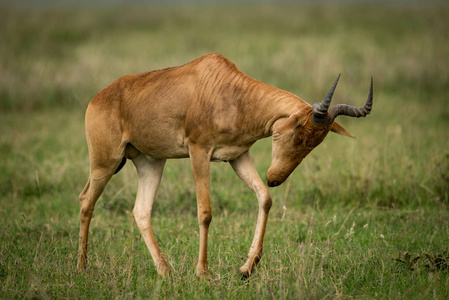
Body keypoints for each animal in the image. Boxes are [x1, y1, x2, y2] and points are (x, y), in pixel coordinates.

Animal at [77, 52, 372, 278]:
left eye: (315, 144)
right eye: (299, 136)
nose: (275, 178)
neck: (229, 91)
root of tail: (97, 98)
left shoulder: (237, 156)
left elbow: (265, 198)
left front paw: (246, 268)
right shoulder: (199, 152)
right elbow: (205, 212)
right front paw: (203, 273)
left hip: (151, 162)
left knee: (140, 211)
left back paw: (165, 271)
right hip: (105, 162)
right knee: (86, 201)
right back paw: (82, 267)